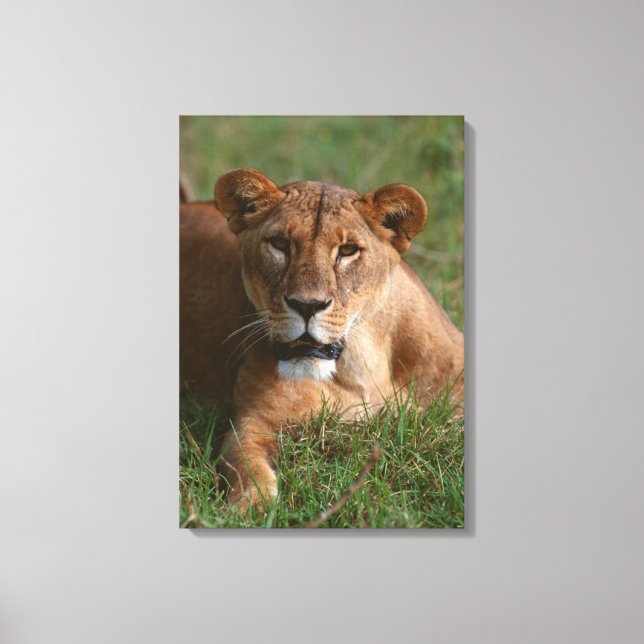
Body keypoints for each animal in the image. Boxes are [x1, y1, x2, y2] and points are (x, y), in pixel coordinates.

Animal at [180, 168, 464, 508]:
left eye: (347, 250)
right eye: (280, 244)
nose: (307, 305)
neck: (360, 369)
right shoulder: (251, 424)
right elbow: (248, 467)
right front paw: (255, 506)